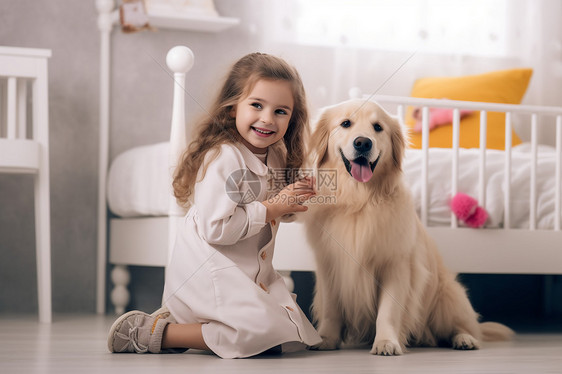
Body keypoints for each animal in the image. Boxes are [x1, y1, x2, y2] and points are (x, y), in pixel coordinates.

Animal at [302, 98, 512, 356]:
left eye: (378, 127)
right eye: (345, 123)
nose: (363, 142)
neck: (359, 201)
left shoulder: (396, 265)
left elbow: (388, 311)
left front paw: (386, 342)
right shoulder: (329, 266)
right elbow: (332, 310)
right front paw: (325, 339)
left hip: (447, 294)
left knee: (462, 326)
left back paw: (465, 339)